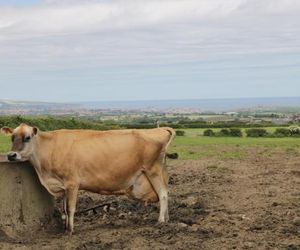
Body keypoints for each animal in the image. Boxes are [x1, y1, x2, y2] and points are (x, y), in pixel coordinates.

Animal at [1, 124, 176, 235]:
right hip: (160, 170)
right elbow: (64, 209)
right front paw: (65, 227)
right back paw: (167, 219)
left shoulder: (72, 183)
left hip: (153, 170)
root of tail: (159, 129)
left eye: (27, 137)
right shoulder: (63, 186)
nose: (11, 155)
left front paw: (70, 231)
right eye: (12, 138)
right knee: (166, 193)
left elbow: (70, 208)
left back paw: (161, 221)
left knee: (163, 194)